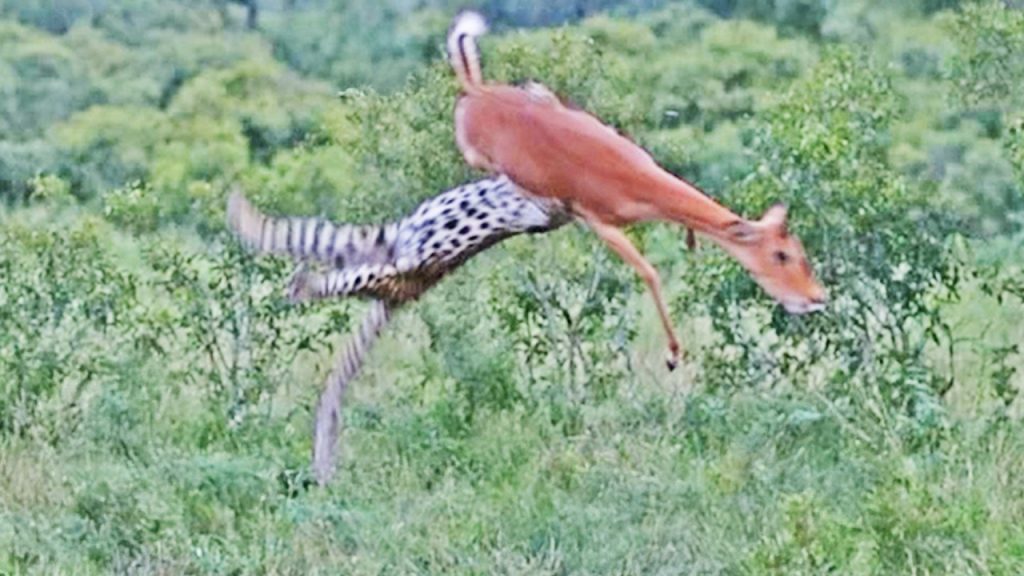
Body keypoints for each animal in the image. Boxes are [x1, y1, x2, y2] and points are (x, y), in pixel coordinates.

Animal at [446, 11, 827, 370]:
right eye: (781, 254)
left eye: (799, 249)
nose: (816, 297)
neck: (635, 179)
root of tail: (477, 93)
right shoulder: (599, 221)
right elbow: (650, 271)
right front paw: (673, 355)